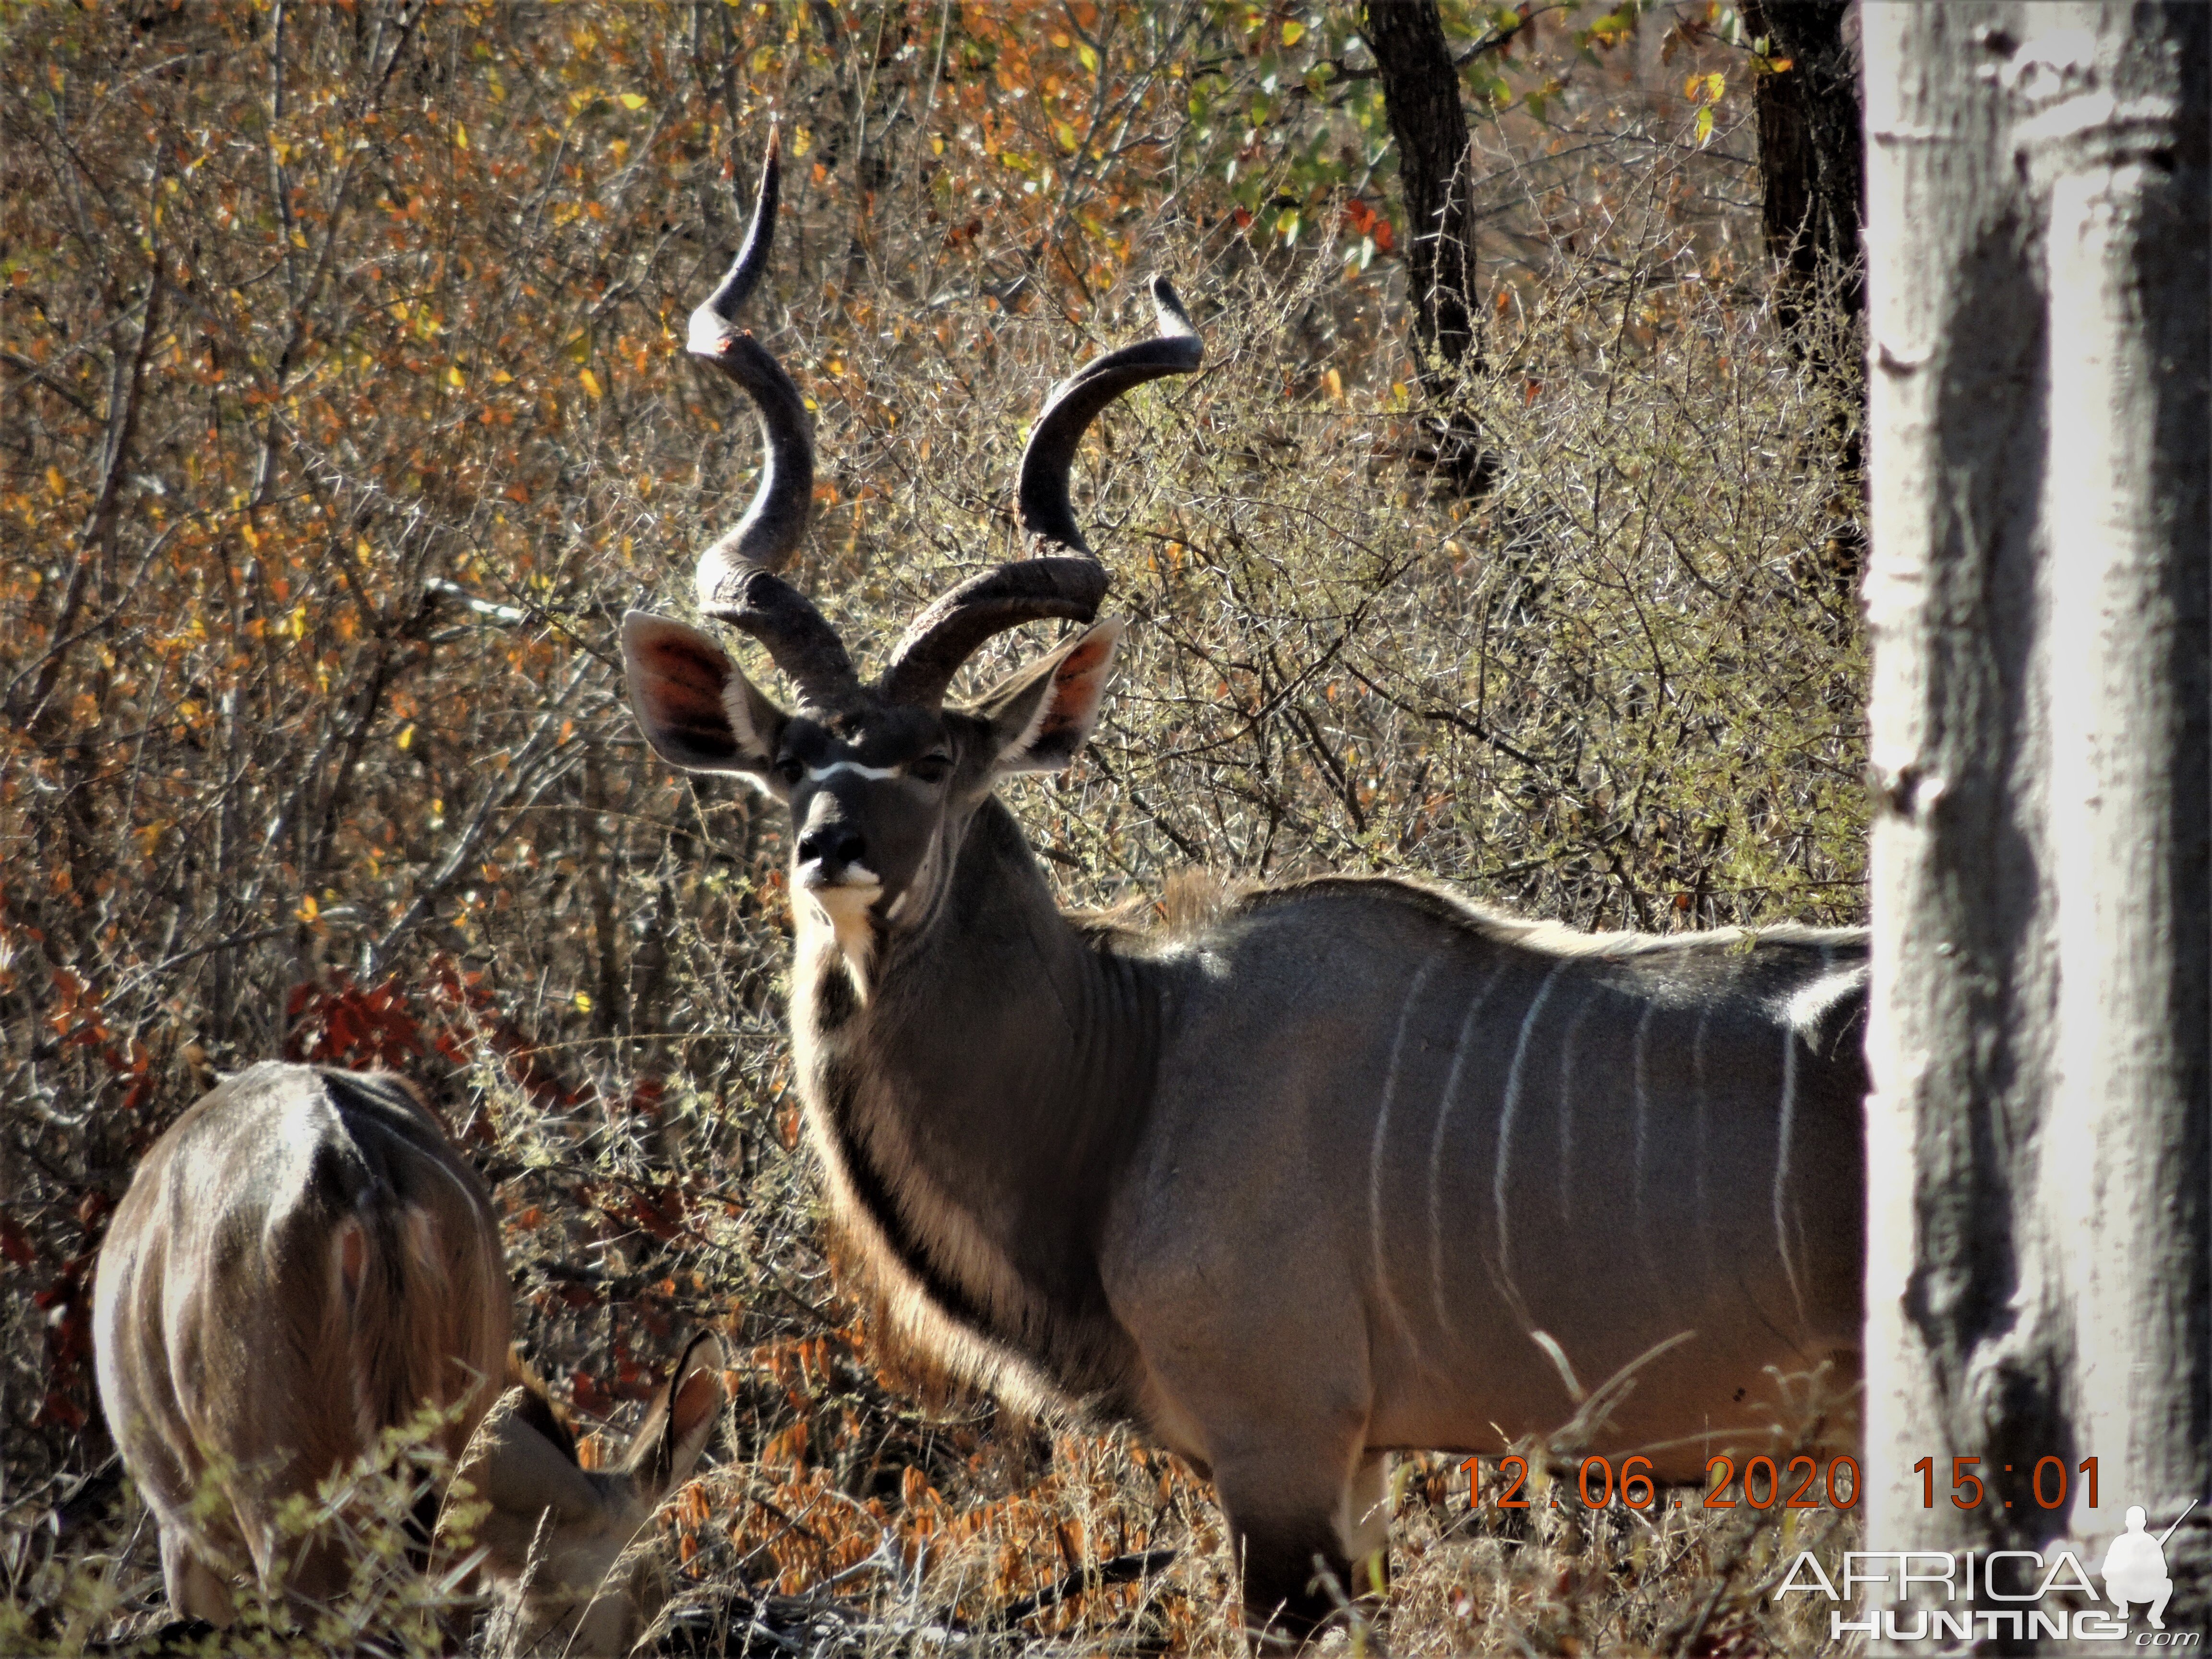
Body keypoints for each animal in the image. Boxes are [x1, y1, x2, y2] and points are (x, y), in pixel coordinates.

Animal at [624, 136, 1867, 1646]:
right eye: (793, 761)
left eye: (933, 759)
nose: (831, 852)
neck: (1135, 1061)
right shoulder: (1360, 1464)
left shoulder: (1283, 1450)